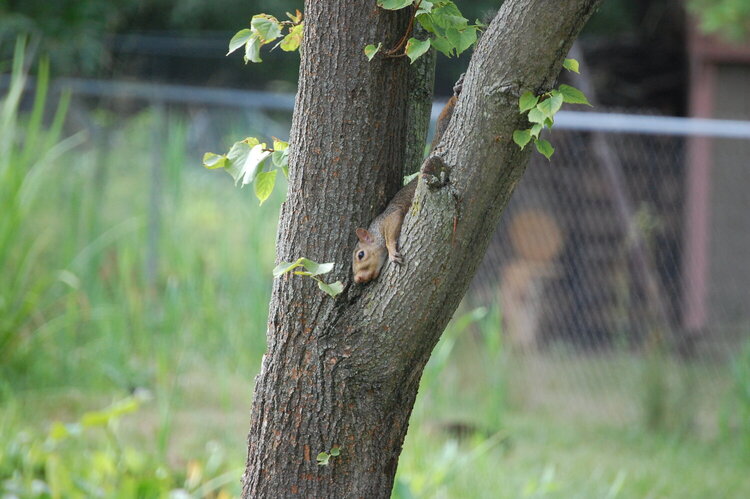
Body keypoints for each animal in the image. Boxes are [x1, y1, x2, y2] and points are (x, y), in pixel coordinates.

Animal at [354, 75, 464, 286]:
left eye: (361, 255)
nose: (358, 280)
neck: (376, 229)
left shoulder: (389, 218)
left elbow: (391, 234)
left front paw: (391, 252)